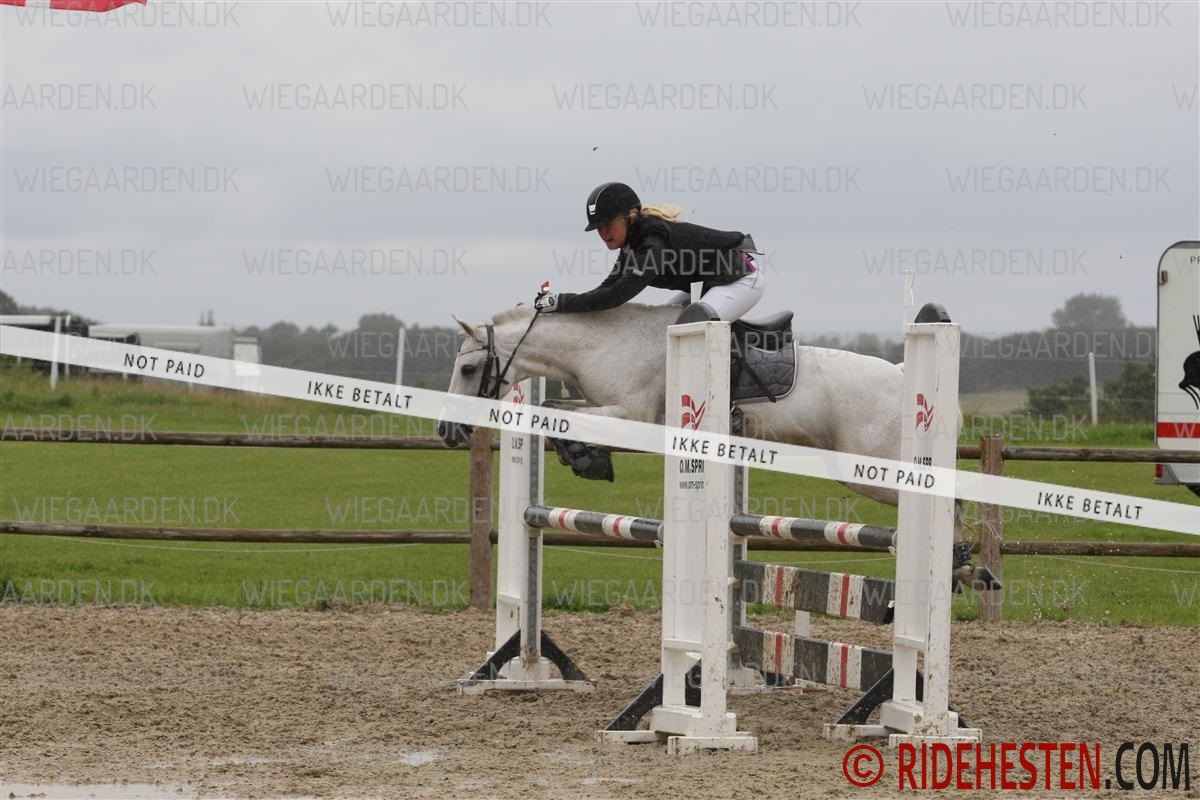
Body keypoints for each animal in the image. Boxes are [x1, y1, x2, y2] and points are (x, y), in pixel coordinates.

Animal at [437, 302, 996, 588]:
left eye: (469, 368)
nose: (448, 432)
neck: (606, 343)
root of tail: (904, 373)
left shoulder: (635, 416)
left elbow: (567, 418)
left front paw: (586, 458)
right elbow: (562, 412)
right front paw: (585, 457)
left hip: (873, 468)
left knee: (946, 501)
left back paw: (965, 565)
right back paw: (967, 569)